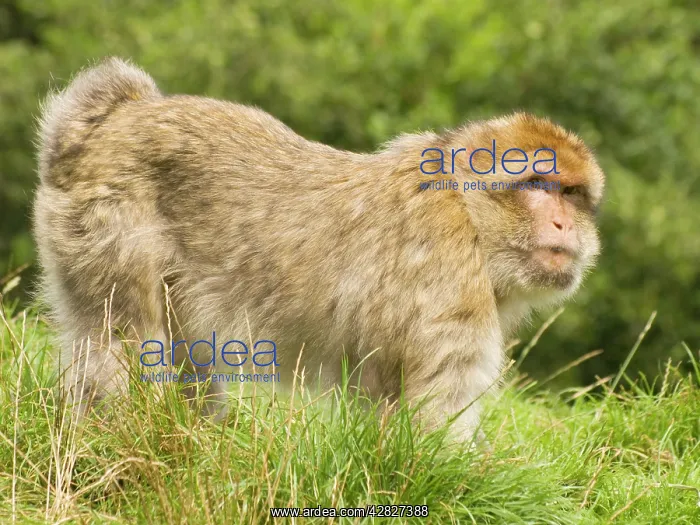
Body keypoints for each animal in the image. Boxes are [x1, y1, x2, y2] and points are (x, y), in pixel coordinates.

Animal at [33, 58, 604, 437]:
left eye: (571, 194)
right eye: (538, 185)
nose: (562, 223)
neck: (468, 215)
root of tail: (108, 120)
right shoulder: (448, 287)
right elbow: (434, 424)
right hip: (106, 226)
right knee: (122, 346)